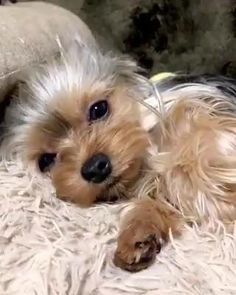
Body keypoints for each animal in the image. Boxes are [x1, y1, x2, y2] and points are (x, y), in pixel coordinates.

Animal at [3, 41, 236, 272]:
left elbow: (187, 160)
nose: (95, 168)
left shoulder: (205, 116)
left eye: (99, 109)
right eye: (46, 161)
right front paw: (139, 234)